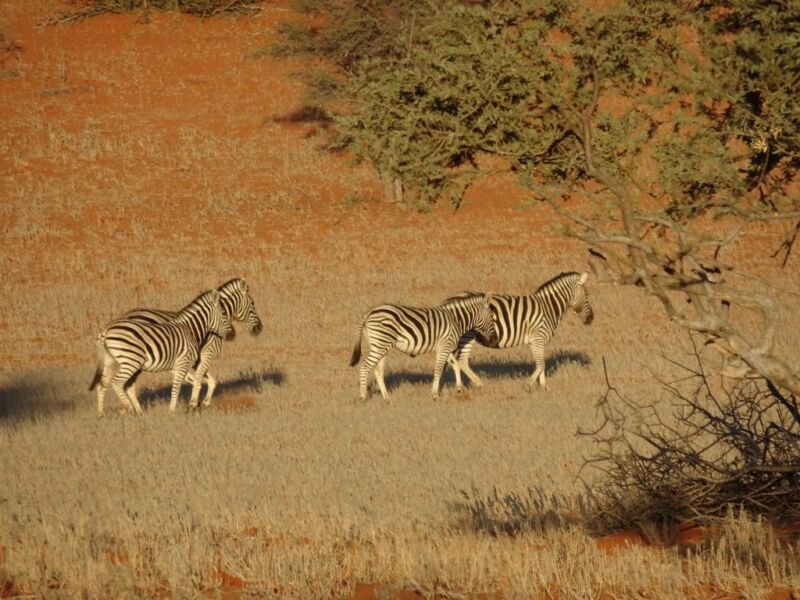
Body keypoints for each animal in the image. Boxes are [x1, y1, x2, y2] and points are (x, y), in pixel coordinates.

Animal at [89, 289, 235, 416]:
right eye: (223, 313)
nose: (233, 335)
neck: (190, 330)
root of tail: (106, 330)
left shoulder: (176, 366)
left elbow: (195, 383)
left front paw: (192, 406)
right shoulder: (182, 362)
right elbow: (177, 387)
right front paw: (172, 411)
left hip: (111, 361)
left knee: (103, 384)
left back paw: (102, 414)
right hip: (131, 361)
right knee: (117, 382)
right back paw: (128, 408)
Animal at [119, 278, 262, 410]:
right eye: (252, 303)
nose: (260, 329)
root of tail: (127, 315)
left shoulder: (197, 358)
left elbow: (210, 381)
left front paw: (204, 402)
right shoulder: (207, 354)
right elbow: (200, 379)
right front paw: (194, 403)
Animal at [349, 294, 498, 401]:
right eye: (492, 318)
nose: (495, 340)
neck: (456, 320)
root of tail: (369, 312)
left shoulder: (445, 346)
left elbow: (455, 365)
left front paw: (459, 389)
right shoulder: (445, 346)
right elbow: (439, 369)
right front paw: (435, 395)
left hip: (379, 345)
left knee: (378, 370)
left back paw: (386, 398)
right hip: (380, 344)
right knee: (365, 366)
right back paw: (363, 396)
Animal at [447, 271, 594, 391]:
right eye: (587, 295)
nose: (591, 318)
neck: (548, 308)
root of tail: (449, 300)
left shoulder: (536, 341)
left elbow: (541, 363)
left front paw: (543, 387)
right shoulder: (538, 337)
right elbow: (541, 364)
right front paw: (528, 384)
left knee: (454, 360)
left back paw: (460, 387)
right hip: (467, 335)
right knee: (462, 361)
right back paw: (478, 384)